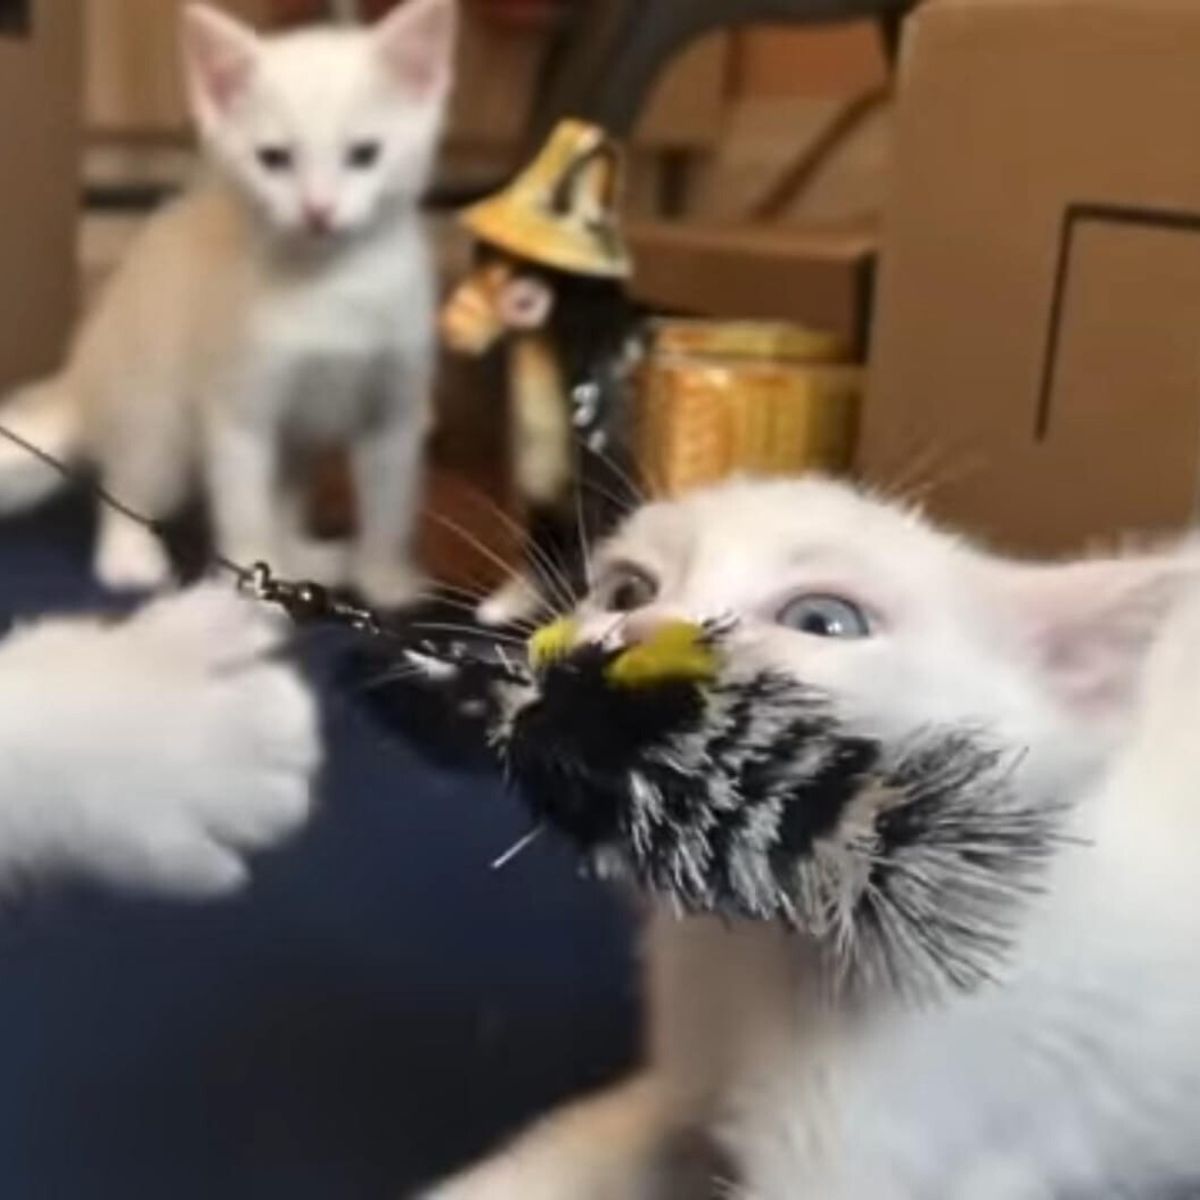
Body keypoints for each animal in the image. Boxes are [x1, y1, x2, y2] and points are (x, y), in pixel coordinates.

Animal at [0, 2, 453, 609]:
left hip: (291, 444)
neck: (331, 284)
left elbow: (390, 500)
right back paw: (128, 557)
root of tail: (83, 372)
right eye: (274, 159)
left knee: (284, 493)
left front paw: (386, 578)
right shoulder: (239, 407)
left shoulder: (394, 407)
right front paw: (251, 579)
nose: (319, 211)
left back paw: (304, 560)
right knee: (127, 485)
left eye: (365, 155)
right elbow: (244, 507)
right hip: (156, 413)